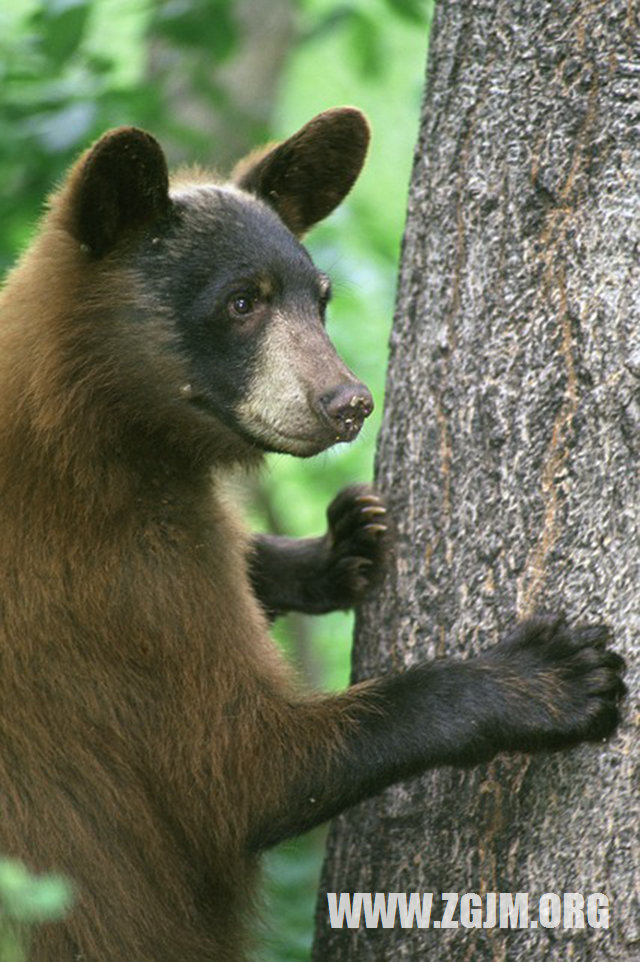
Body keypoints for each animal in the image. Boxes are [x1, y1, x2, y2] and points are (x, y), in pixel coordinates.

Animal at [0, 109, 624, 956]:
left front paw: (337, 547)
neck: (88, 430)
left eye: (319, 298)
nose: (349, 401)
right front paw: (545, 679)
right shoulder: (112, 581)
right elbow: (236, 769)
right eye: (242, 302)